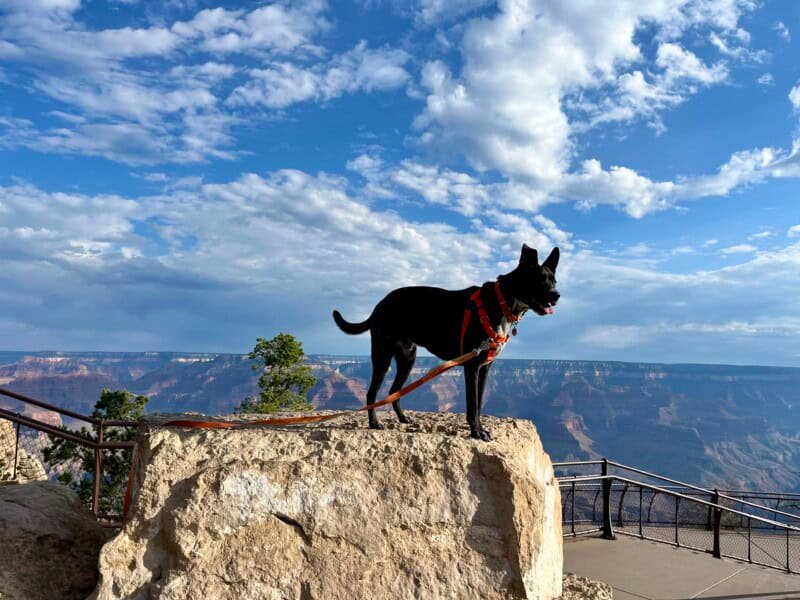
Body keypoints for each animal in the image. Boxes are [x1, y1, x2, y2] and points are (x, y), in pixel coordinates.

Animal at [334, 244, 560, 440]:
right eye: (540, 279)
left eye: (554, 281)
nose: (556, 295)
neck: (502, 301)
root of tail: (379, 305)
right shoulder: (472, 366)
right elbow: (472, 404)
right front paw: (476, 433)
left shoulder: (485, 368)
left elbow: (479, 403)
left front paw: (480, 429)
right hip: (382, 356)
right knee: (372, 392)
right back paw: (374, 423)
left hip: (408, 359)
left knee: (393, 392)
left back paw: (403, 418)